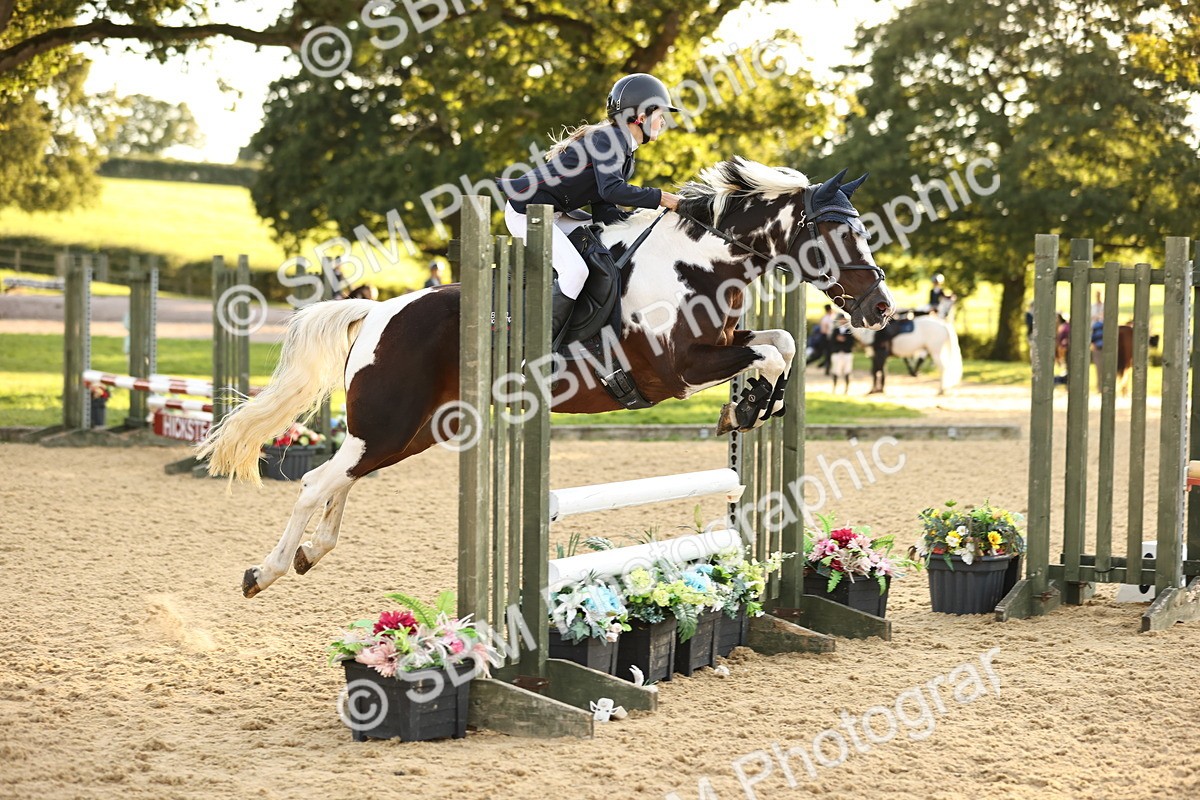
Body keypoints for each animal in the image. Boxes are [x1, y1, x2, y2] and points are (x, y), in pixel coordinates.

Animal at [197, 158, 897, 598]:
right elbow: (774, 352)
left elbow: (779, 344)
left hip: (414, 431)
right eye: (837, 232)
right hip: (392, 423)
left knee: (344, 476)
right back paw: (265, 572)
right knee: (318, 481)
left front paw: (750, 408)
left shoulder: (724, 344)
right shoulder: (677, 370)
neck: (699, 265)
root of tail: (378, 310)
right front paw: (748, 407)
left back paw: (310, 553)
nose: (880, 309)